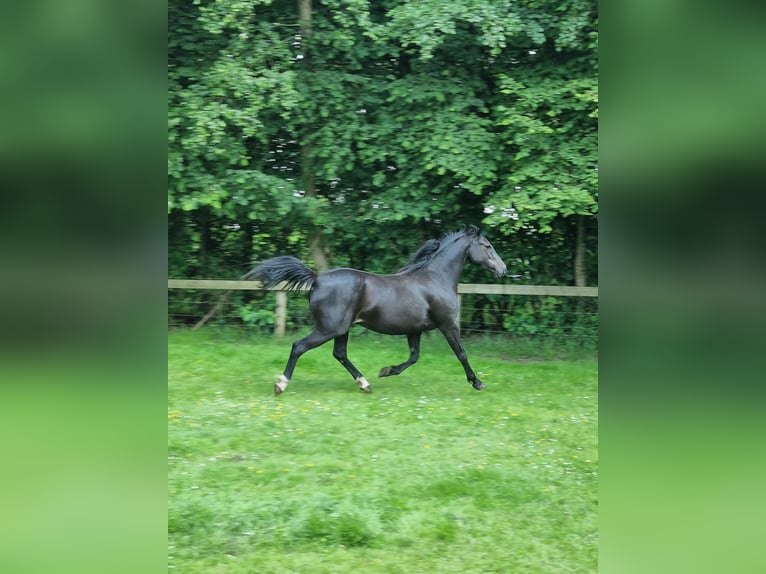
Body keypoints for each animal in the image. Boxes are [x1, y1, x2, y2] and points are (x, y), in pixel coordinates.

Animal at [246, 225, 507, 395]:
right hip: (329, 328)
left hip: (341, 329)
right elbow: (461, 353)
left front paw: (386, 370)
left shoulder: (414, 330)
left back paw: (365, 383)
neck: (436, 279)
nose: (503, 269)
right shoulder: (448, 324)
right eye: (487, 246)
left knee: (340, 354)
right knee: (299, 346)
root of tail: (317, 278)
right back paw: (281, 384)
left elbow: (414, 357)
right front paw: (477, 382)